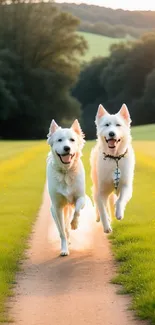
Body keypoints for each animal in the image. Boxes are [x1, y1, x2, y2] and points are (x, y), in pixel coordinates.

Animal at [46, 119, 86, 256]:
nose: (66, 148)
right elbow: (62, 230)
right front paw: (64, 249)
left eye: (72, 140)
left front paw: (75, 224)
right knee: (62, 228)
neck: (65, 171)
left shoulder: (82, 197)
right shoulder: (57, 207)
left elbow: (77, 210)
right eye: (59, 140)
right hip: (54, 211)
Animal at [90, 104, 135, 233]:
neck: (114, 158)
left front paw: (119, 213)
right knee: (98, 204)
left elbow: (120, 200)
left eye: (118, 125)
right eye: (107, 125)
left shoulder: (125, 185)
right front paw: (106, 227)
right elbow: (102, 210)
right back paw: (99, 217)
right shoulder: (100, 191)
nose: (111, 133)